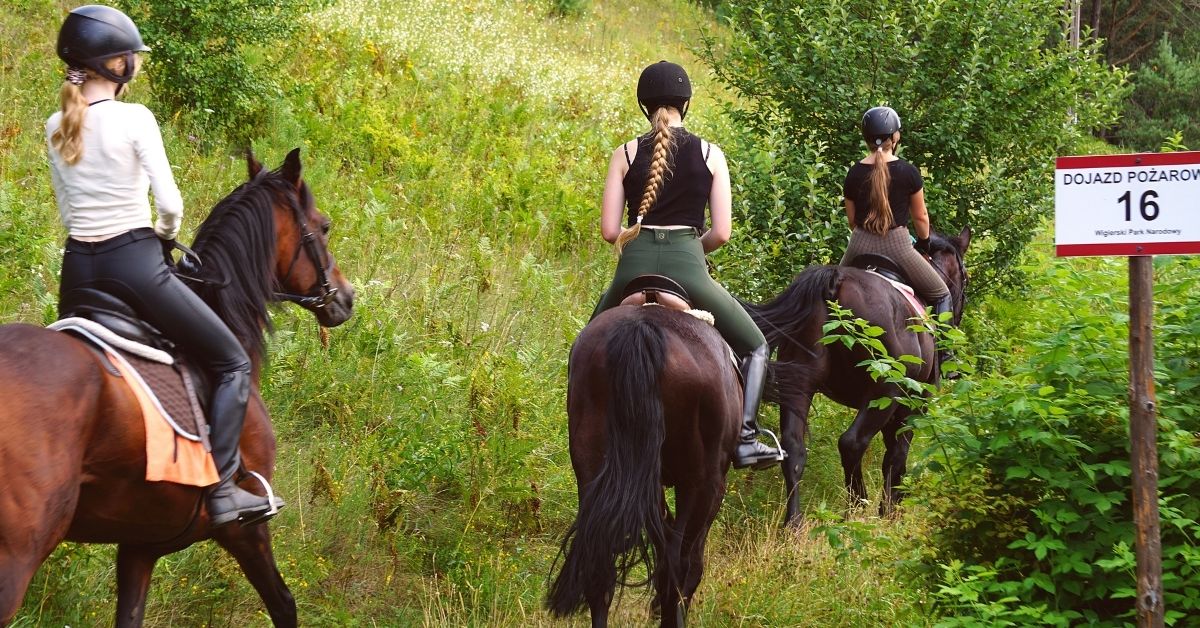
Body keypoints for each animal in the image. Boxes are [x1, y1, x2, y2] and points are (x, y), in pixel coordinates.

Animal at [549, 302, 744, 624]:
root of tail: (642, 330)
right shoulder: (711, 487)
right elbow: (691, 564)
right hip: (701, 484)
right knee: (678, 566)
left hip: (592, 467)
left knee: (602, 567)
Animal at [744, 228, 969, 523]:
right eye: (965, 278)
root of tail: (834, 283)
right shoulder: (912, 403)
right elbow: (897, 454)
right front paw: (890, 509)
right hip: (884, 392)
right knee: (852, 443)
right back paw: (858, 506)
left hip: (800, 383)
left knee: (794, 448)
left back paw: (794, 523)